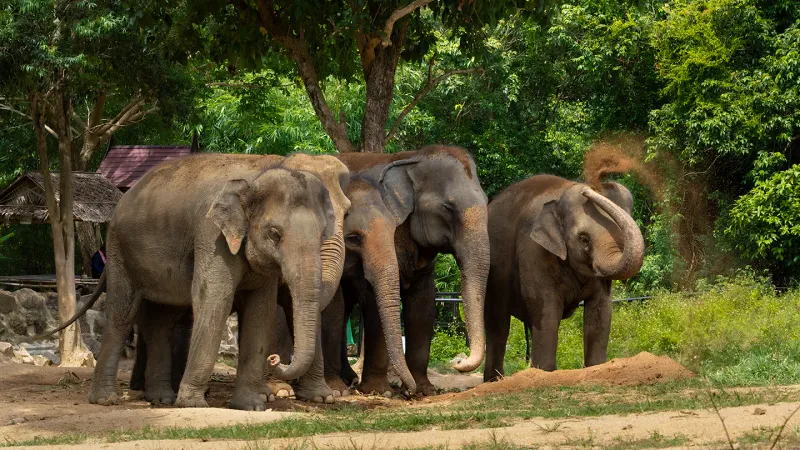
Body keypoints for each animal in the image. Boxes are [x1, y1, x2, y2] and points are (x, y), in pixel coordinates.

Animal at [46, 153, 339, 410]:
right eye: (274, 234)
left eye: (321, 234)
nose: (276, 358)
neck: (254, 176)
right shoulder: (211, 235)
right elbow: (214, 299)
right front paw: (193, 404)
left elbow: (261, 311)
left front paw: (251, 406)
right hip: (120, 251)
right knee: (122, 314)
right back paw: (107, 399)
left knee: (160, 321)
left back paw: (161, 399)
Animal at [317, 145, 490, 396]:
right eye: (447, 208)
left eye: (487, 201)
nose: (458, 363)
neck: (411, 159)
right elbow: (375, 300)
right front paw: (381, 391)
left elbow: (423, 305)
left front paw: (424, 390)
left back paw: (349, 379)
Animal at [483, 175, 645, 381]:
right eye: (583, 239)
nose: (588, 189)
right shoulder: (533, 250)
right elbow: (546, 308)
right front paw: (543, 374)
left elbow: (600, 311)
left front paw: (596, 368)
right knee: (498, 324)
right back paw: (494, 381)